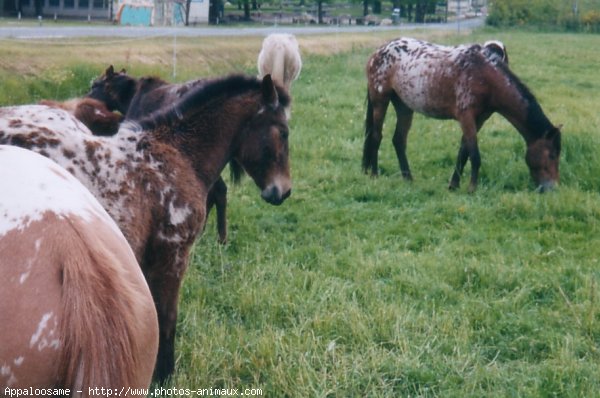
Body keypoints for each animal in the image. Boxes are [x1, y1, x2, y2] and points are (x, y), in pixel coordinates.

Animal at [360, 37, 564, 193]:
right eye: (552, 155)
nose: (552, 188)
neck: (485, 76)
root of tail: (378, 52)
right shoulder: (466, 117)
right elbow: (474, 154)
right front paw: (472, 188)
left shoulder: (479, 119)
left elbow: (463, 150)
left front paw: (454, 185)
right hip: (380, 101)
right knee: (376, 136)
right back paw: (374, 174)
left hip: (404, 106)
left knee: (399, 140)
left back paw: (408, 178)